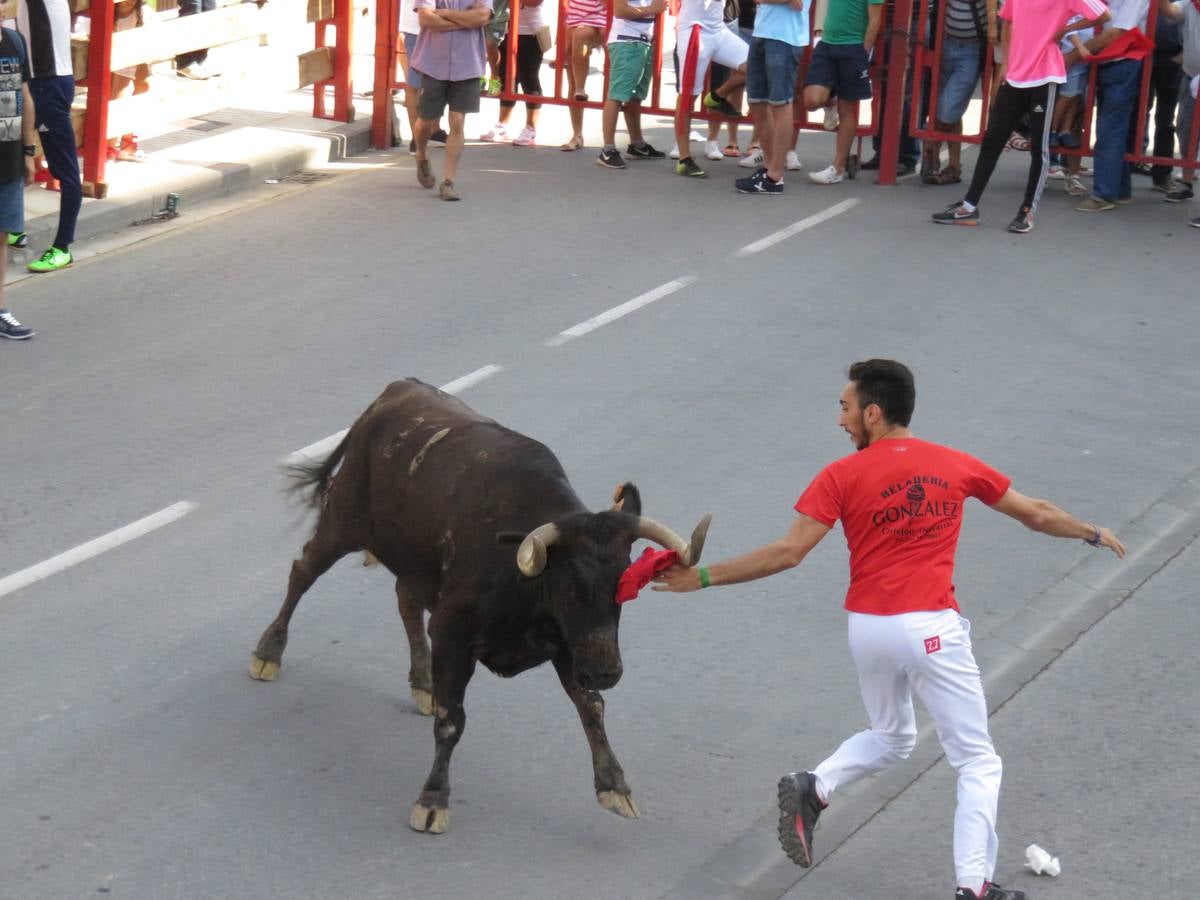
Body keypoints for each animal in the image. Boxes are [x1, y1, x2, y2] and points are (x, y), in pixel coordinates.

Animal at [247, 376, 705, 835]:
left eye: (625, 585)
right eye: (570, 585)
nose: (607, 672)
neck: (522, 577)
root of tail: (398, 389)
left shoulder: (569, 646)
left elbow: (590, 706)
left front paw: (615, 786)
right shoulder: (453, 634)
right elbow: (453, 720)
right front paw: (433, 800)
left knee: (404, 601)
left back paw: (422, 683)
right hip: (342, 523)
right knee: (303, 572)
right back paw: (268, 653)